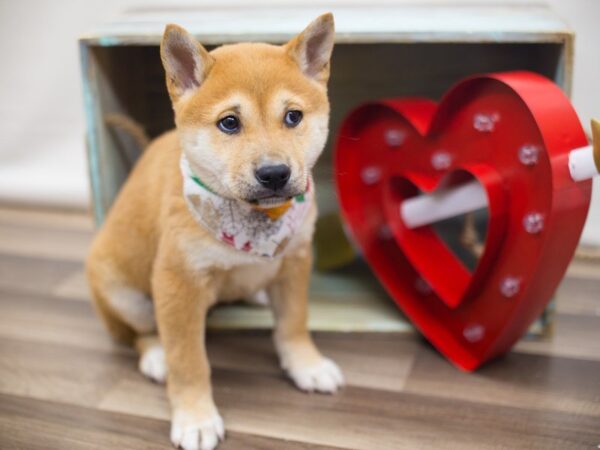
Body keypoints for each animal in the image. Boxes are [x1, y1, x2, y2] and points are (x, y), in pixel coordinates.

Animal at [87, 12, 344, 450]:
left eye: (293, 117)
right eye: (229, 123)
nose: (274, 173)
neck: (256, 221)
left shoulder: (295, 261)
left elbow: (294, 323)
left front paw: (305, 364)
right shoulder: (178, 282)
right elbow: (189, 361)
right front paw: (195, 417)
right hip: (125, 295)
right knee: (137, 334)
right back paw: (155, 355)